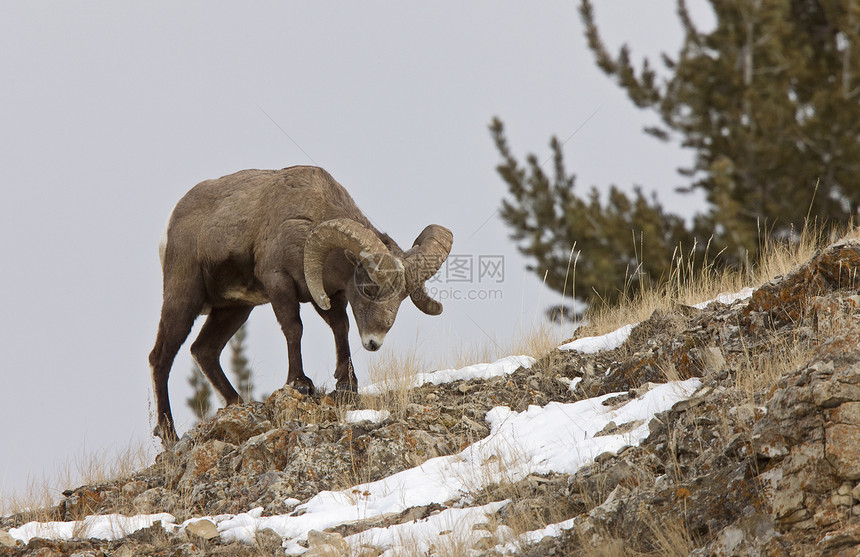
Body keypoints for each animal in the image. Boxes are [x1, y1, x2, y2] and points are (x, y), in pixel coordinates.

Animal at [150, 165, 454, 444]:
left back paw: (237, 404)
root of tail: (172, 222)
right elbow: (294, 328)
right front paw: (300, 383)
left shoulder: (327, 293)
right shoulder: (280, 283)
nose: (374, 342)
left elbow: (340, 328)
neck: (308, 217)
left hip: (233, 310)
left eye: (402, 297)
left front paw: (347, 384)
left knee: (204, 350)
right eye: (369, 289)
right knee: (161, 358)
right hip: (183, 300)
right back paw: (169, 436)